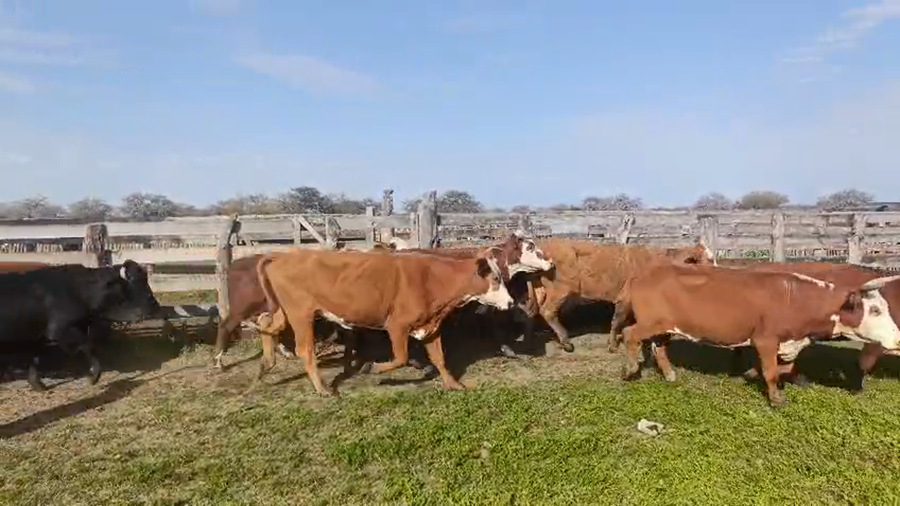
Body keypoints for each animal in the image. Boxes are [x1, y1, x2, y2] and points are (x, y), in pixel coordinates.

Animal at [0, 260, 161, 391]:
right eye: (133, 282)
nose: (155, 305)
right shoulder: (61, 331)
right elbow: (88, 346)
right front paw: (93, 377)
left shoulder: (40, 336)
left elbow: (35, 359)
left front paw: (37, 385)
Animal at [253, 247, 515, 396]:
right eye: (495, 278)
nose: (511, 302)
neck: (435, 278)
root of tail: (280, 256)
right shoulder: (397, 325)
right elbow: (401, 357)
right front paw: (375, 369)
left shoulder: (431, 326)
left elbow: (439, 358)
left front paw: (453, 384)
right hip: (301, 314)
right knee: (305, 350)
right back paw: (323, 389)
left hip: (286, 312)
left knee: (265, 323)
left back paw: (266, 365)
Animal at [525, 240, 715, 353]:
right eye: (707, 259)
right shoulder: (625, 298)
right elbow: (617, 321)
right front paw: (613, 345)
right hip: (561, 290)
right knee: (548, 312)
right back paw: (566, 342)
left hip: (541, 289)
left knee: (535, 312)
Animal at [617, 262, 900, 407]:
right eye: (875, 310)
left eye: (885, 308)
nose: (897, 338)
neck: (796, 299)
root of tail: (642, 273)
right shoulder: (765, 339)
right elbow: (772, 372)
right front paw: (776, 399)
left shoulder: (788, 343)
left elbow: (782, 369)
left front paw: (752, 374)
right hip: (650, 322)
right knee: (630, 334)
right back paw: (630, 369)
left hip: (665, 326)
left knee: (659, 347)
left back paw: (670, 375)